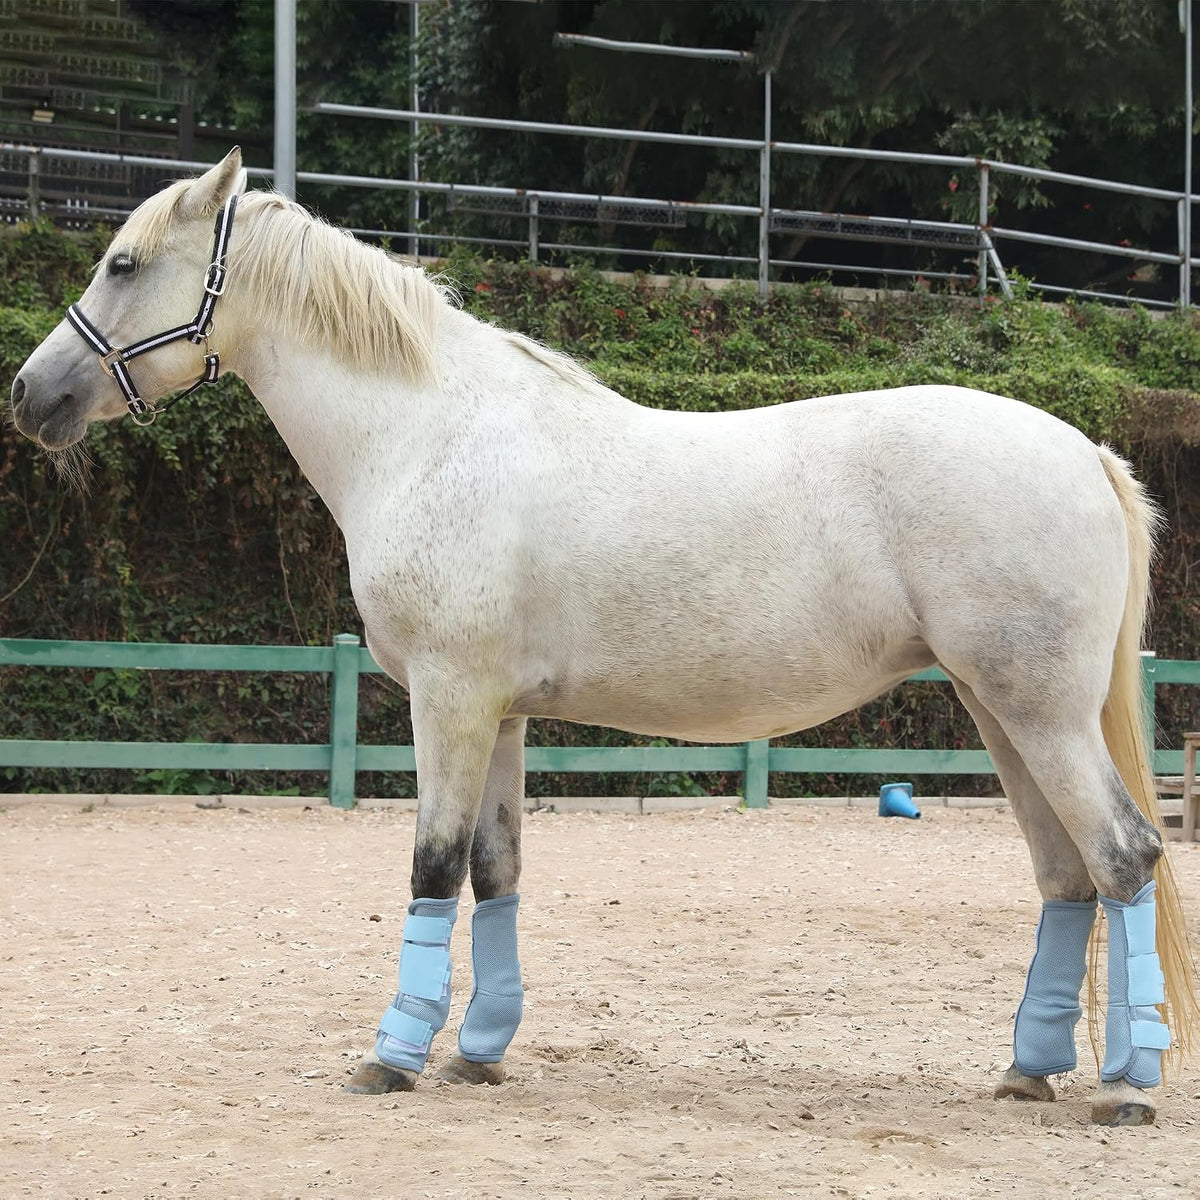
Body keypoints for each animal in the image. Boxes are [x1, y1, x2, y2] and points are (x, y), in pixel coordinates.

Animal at [11, 149, 1197, 1126]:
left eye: (123, 264)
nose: (30, 394)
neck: (428, 434)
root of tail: (1085, 451)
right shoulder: (497, 714)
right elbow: (496, 870)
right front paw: (479, 1052)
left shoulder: (447, 698)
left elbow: (433, 865)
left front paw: (392, 1058)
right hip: (999, 711)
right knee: (1067, 875)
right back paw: (1030, 1071)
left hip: (1038, 714)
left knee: (1125, 856)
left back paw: (1127, 1088)